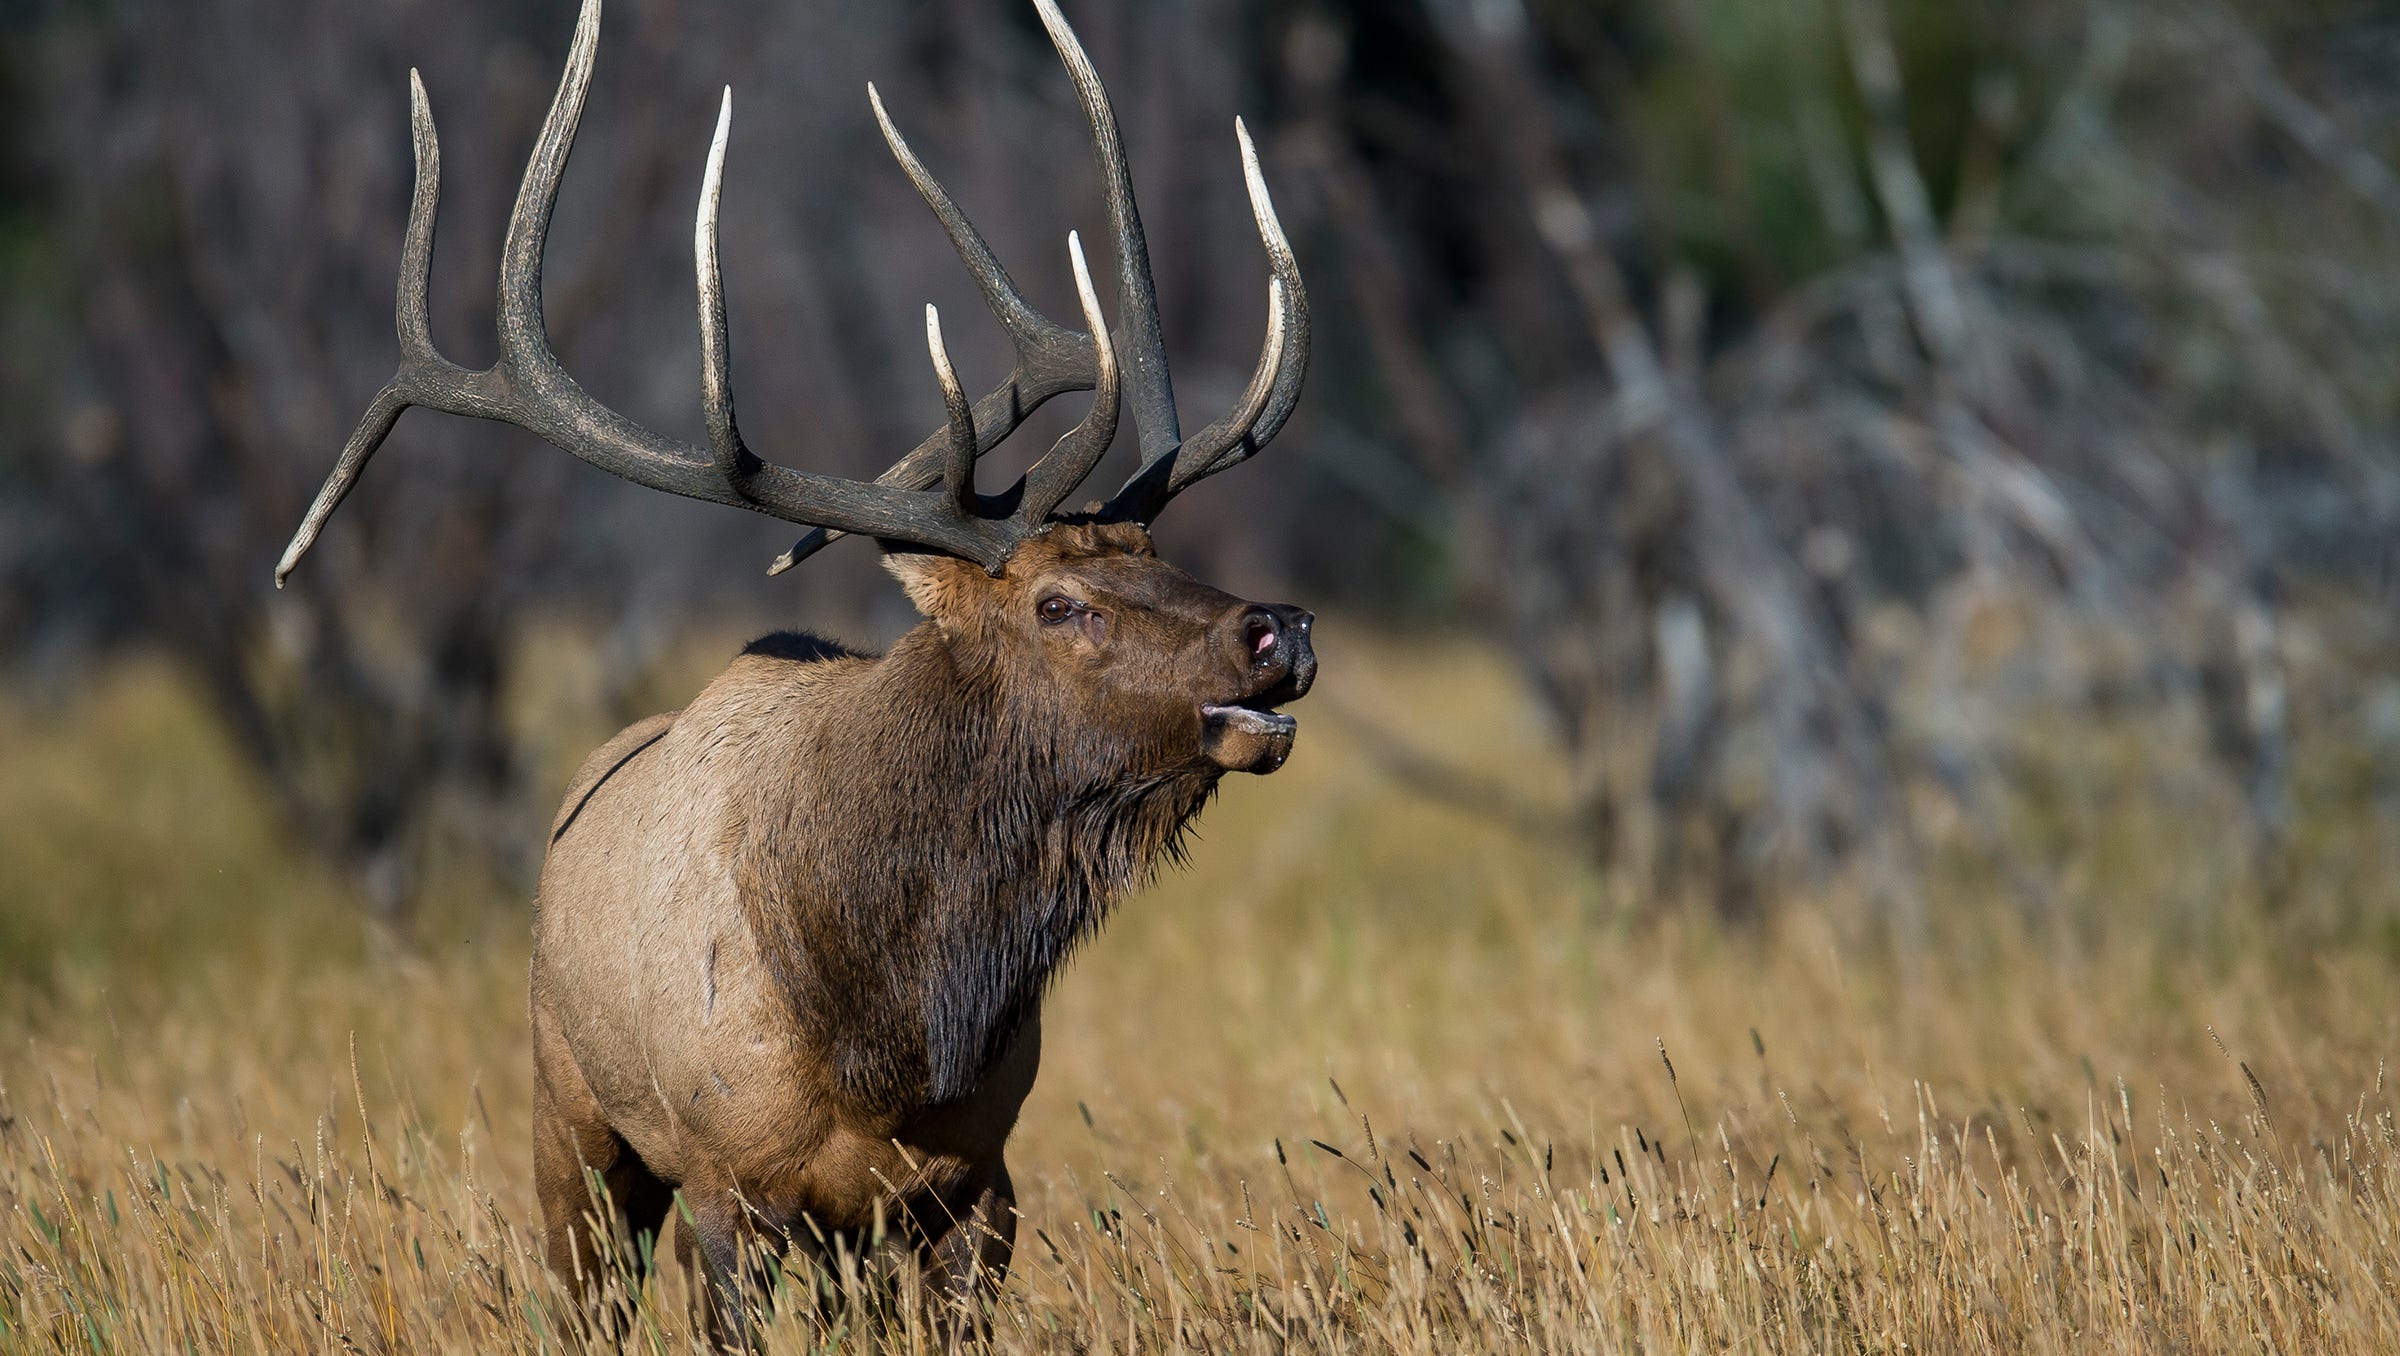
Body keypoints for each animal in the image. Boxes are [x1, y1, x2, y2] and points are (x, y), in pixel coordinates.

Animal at [272, 0, 1311, 1337]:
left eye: (1160, 553)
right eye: (1058, 603)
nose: (1279, 628)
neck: (886, 1024)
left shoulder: (979, 1180)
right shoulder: (730, 1181)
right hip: (572, 1112)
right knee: (586, 1291)